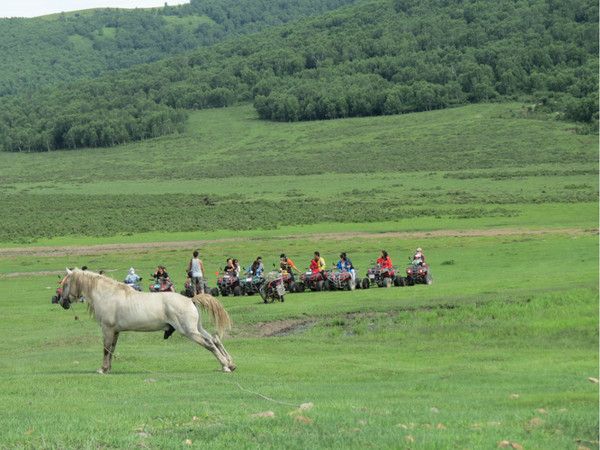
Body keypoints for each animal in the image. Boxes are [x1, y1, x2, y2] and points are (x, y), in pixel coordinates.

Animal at [56, 268, 234, 374]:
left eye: (65, 284)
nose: (62, 303)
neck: (108, 294)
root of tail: (190, 299)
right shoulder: (115, 331)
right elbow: (112, 349)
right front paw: (108, 368)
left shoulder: (107, 329)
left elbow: (106, 349)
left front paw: (102, 369)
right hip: (197, 328)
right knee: (215, 339)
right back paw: (230, 363)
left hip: (189, 331)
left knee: (209, 343)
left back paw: (225, 365)